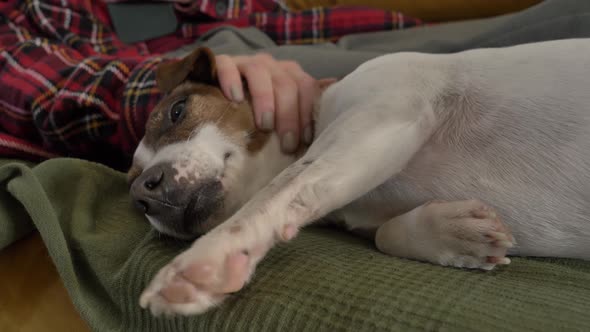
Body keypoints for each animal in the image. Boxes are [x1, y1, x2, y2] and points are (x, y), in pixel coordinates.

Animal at [127, 40, 590, 316]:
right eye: (130, 180)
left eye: (177, 111)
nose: (141, 193)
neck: (317, 115)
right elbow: (385, 234)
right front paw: (454, 233)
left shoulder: (385, 117)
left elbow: (280, 190)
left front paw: (205, 262)